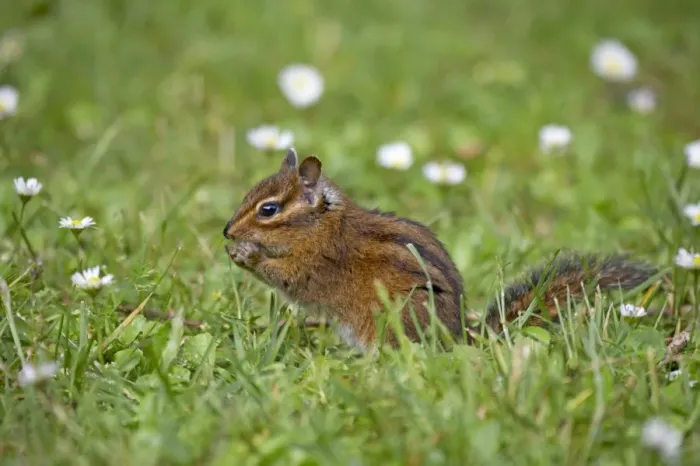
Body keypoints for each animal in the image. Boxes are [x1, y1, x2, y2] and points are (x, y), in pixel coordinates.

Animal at [223, 148, 659, 353]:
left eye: (268, 209)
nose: (226, 231)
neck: (321, 225)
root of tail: (461, 336)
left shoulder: (315, 265)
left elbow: (288, 279)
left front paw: (247, 255)